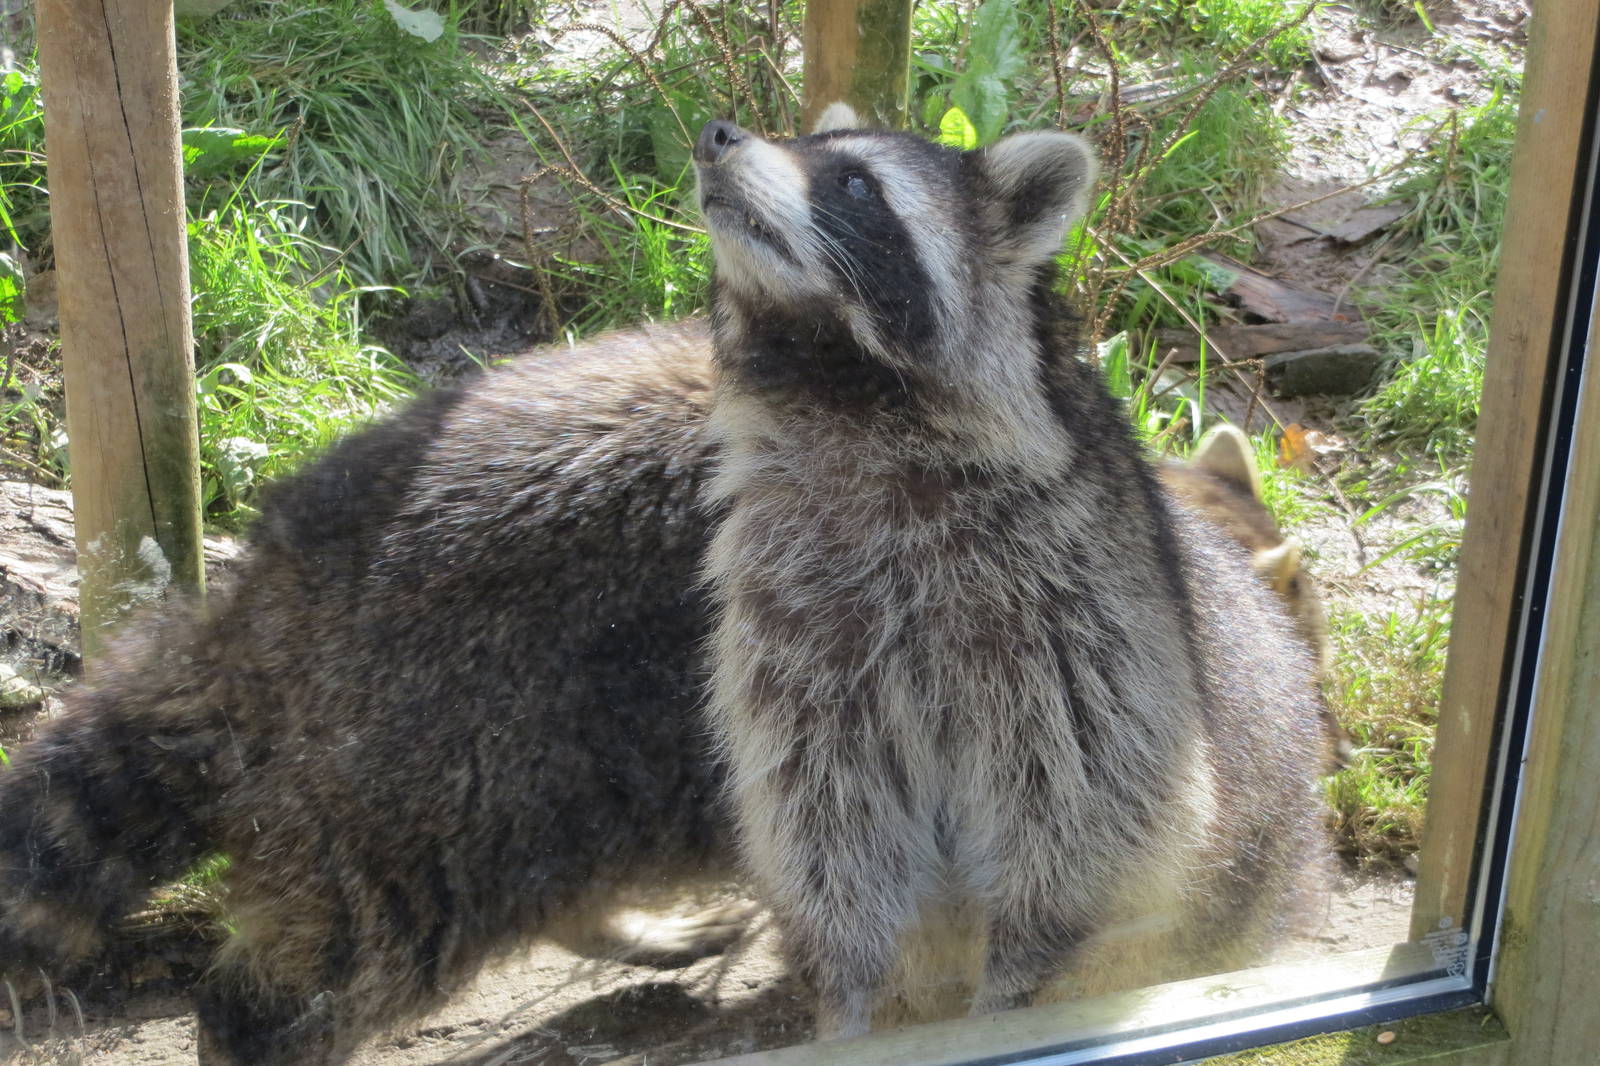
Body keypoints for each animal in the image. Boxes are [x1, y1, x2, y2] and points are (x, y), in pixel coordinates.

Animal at [695, 108, 1328, 1038]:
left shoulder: (1078, 608)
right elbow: (825, 810)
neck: (839, 389)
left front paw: (1017, 974)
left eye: (854, 182)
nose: (716, 136)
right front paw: (847, 983)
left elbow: (1092, 812)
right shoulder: (794, 613)